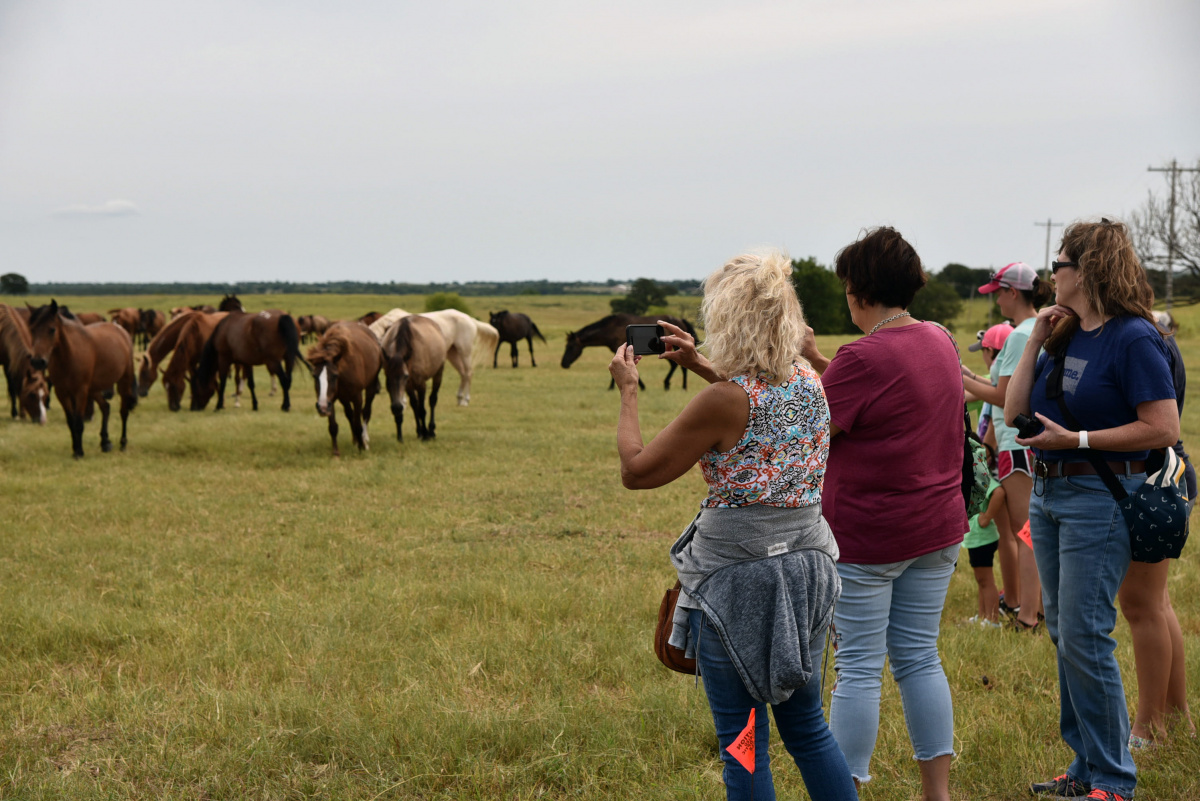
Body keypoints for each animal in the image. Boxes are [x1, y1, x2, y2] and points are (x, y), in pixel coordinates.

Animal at [26, 299, 137, 460]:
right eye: (32, 330)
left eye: (52, 329)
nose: (37, 362)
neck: (69, 355)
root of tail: (121, 330)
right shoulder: (62, 393)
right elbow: (70, 421)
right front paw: (75, 449)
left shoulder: (80, 391)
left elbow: (78, 422)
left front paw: (79, 452)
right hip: (94, 388)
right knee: (105, 407)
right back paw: (105, 443)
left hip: (123, 382)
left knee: (124, 411)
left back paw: (123, 443)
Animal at [307, 321, 381, 455]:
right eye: (314, 376)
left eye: (334, 375)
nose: (322, 407)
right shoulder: (330, 399)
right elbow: (333, 426)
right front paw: (336, 452)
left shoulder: (357, 397)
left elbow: (358, 423)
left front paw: (362, 447)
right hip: (343, 398)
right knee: (349, 414)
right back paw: (356, 440)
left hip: (370, 387)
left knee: (366, 411)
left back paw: (364, 439)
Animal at [364, 309, 496, 407]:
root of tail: (470, 319)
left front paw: (403, 402)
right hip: (452, 353)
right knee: (463, 373)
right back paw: (459, 399)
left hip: (465, 352)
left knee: (468, 373)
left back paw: (465, 401)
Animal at [564, 311, 700, 390]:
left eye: (570, 347)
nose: (563, 363)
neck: (610, 328)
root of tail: (680, 320)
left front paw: (612, 387)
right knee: (678, 366)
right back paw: (675, 385)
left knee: (678, 366)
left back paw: (675, 385)